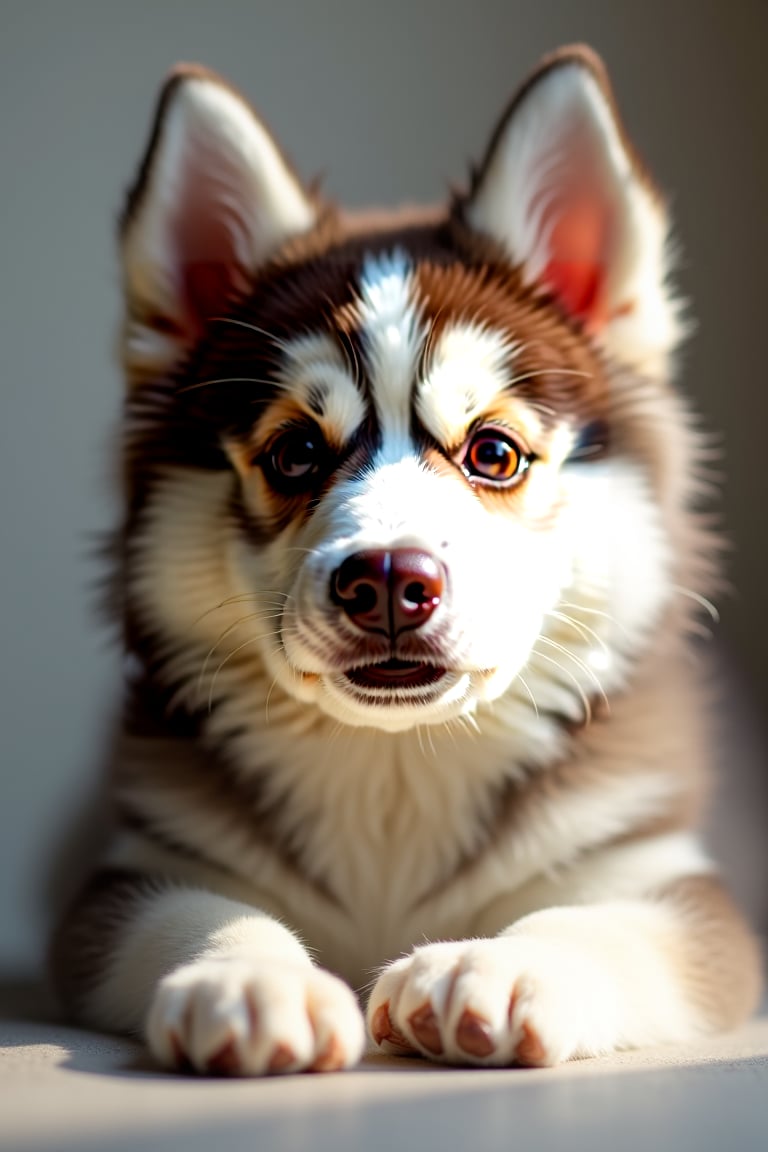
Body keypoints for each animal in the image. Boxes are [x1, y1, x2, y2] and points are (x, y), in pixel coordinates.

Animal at [52, 42, 764, 1069]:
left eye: (493, 453)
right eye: (294, 454)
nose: (390, 582)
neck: (397, 765)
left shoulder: (665, 879)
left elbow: (598, 924)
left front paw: (499, 966)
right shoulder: (133, 875)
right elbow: (193, 913)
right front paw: (250, 979)